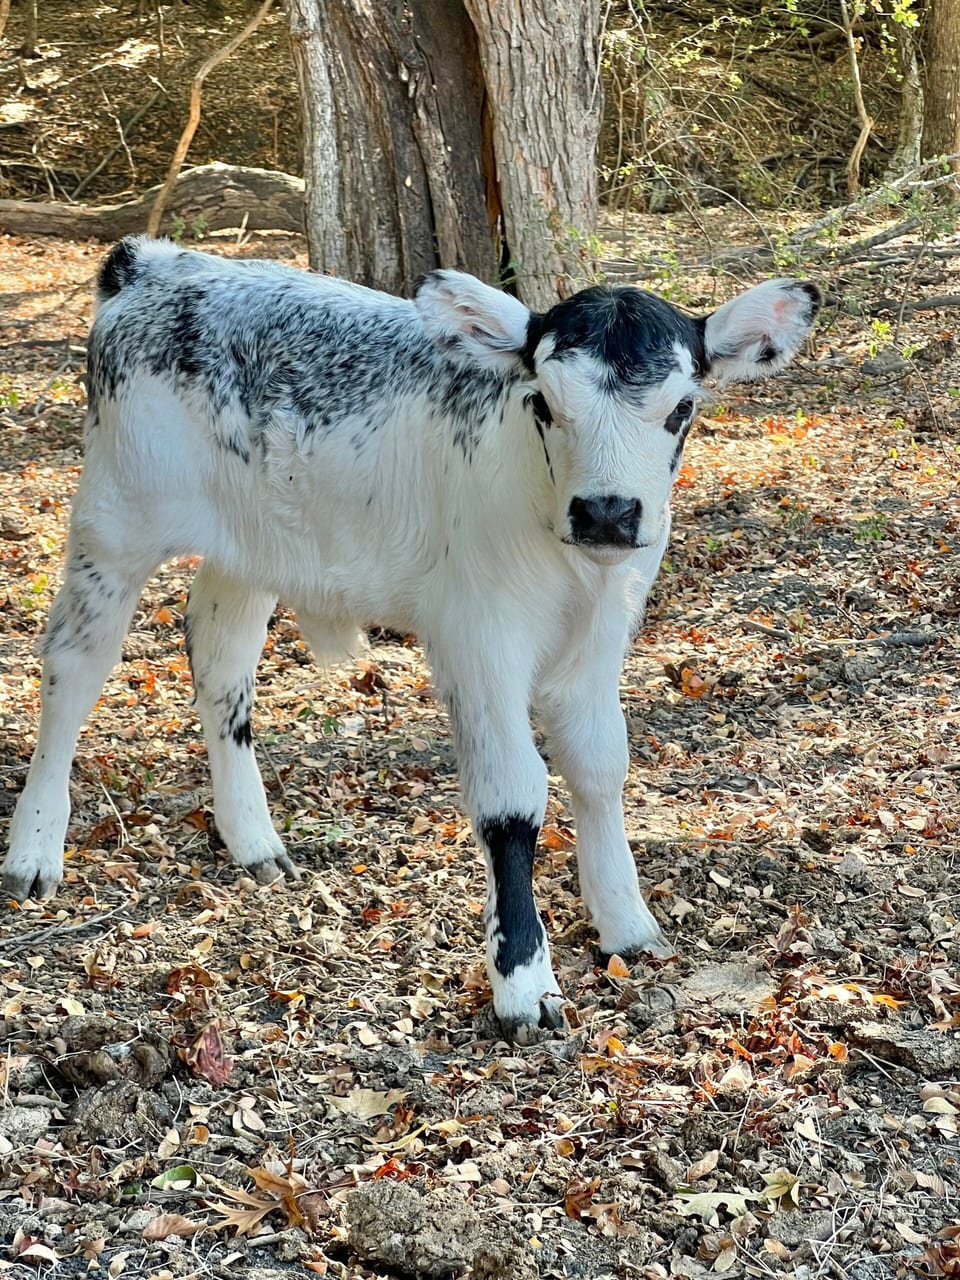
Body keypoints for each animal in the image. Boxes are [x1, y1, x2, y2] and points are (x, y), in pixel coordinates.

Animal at [2, 237, 819, 1040]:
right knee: (74, 667)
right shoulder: (477, 640)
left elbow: (600, 768)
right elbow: (512, 801)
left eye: (682, 407)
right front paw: (524, 985)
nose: (607, 512)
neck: (574, 567)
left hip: (252, 543)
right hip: (115, 517)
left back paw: (254, 841)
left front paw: (627, 923)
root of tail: (155, 263)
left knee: (220, 658)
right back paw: (34, 848)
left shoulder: (601, 642)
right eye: (543, 403)